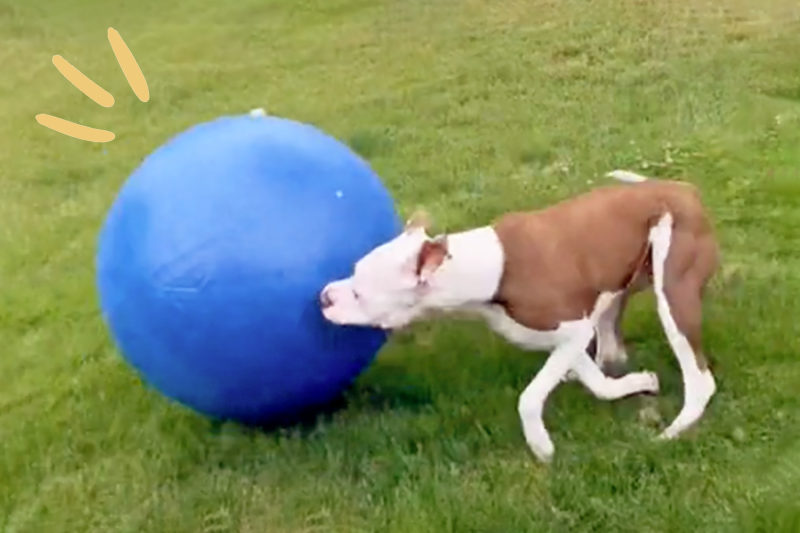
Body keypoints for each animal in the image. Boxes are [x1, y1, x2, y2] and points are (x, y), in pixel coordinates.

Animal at [318, 170, 720, 462]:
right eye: (352, 270)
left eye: (360, 293)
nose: (323, 296)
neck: (491, 268)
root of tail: (683, 189)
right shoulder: (566, 337)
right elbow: (597, 381)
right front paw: (638, 383)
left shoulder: (573, 332)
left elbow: (528, 398)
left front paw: (542, 447)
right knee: (611, 340)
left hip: (673, 293)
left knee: (699, 377)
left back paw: (674, 432)